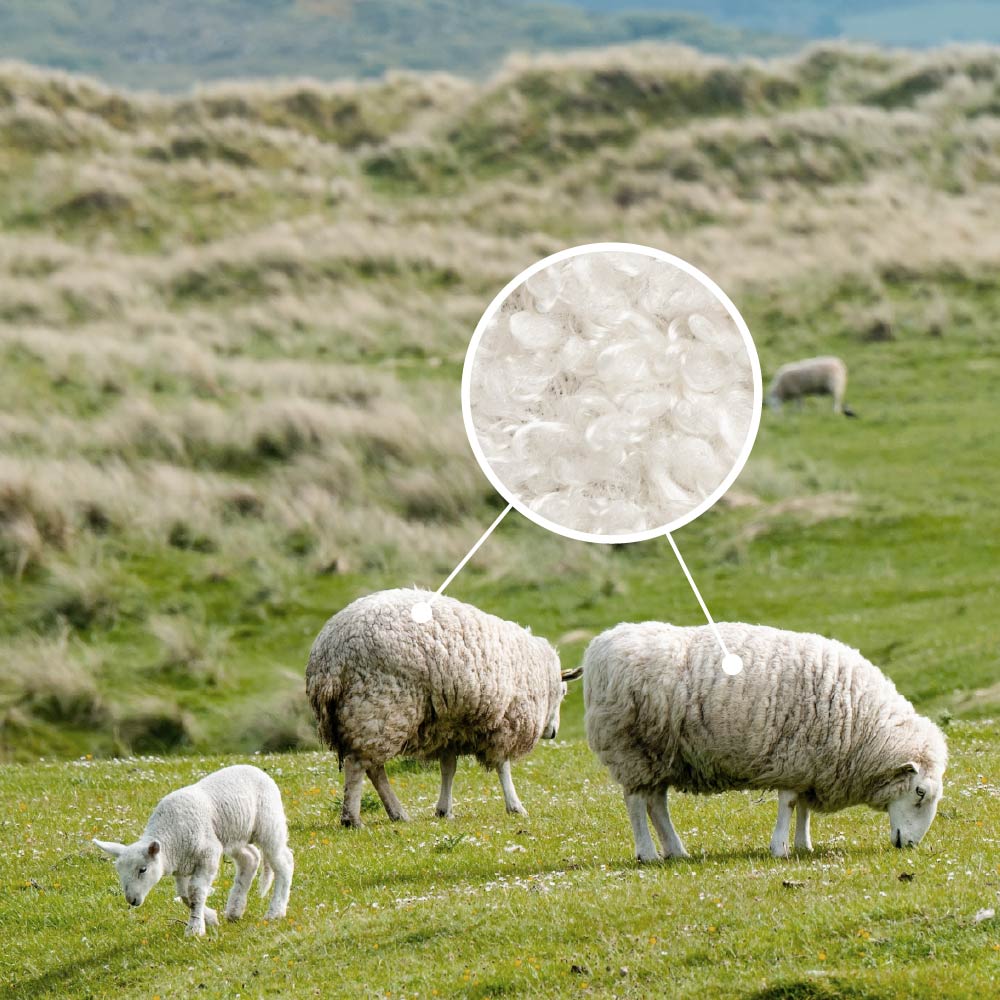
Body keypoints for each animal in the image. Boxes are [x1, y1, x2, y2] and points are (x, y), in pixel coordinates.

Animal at [94, 764, 293, 936]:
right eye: (119, 872)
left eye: (143, 869)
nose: (131, 900)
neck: (170, 836)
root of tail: (255, 768)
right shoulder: (181, 865)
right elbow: (184, 895)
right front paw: (210, 918)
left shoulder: (208, 855)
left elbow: (195, 891)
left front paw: (195, 928)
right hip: (233, 835)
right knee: (250, 858)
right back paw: (235, 911)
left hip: (269, 822)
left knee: (284, 862)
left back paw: (276, 911)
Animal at [306, 587, 581, 827]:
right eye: (563, 693)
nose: (553, 732)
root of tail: (328, 657)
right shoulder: (504, 722)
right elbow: (503, 766)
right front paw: (515, 806)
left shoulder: (449, 727)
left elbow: (448, 769)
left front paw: (444, 809)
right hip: (378, 707)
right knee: (358, 765)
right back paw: (352, 818)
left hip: (370, 714)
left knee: (373, 767)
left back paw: (397, 813)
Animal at [583, 622, 946, 862]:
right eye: (919, 792)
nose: (909, 845)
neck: (862, 720)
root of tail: (599, 646)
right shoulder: (795, 755)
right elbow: (789, 804)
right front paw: (780, 848)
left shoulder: (810, 763)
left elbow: (803, 808)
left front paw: (803, 845)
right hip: (632, 748)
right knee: (635, 802)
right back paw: (648, 853)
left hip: (660, 754)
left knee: (656, 803)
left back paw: (677, 851)